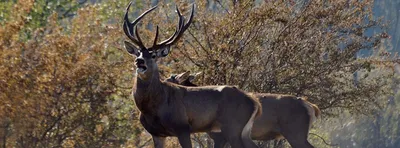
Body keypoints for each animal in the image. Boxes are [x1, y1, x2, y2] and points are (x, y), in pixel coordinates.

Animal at [122, 2, 260, 148]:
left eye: (153, 55)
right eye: (138, 53)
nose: (139, 61)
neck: (154, 107)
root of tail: (254, 102)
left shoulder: (182, 127)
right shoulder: (157, 133)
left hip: (232, 127)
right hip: (243, 131)